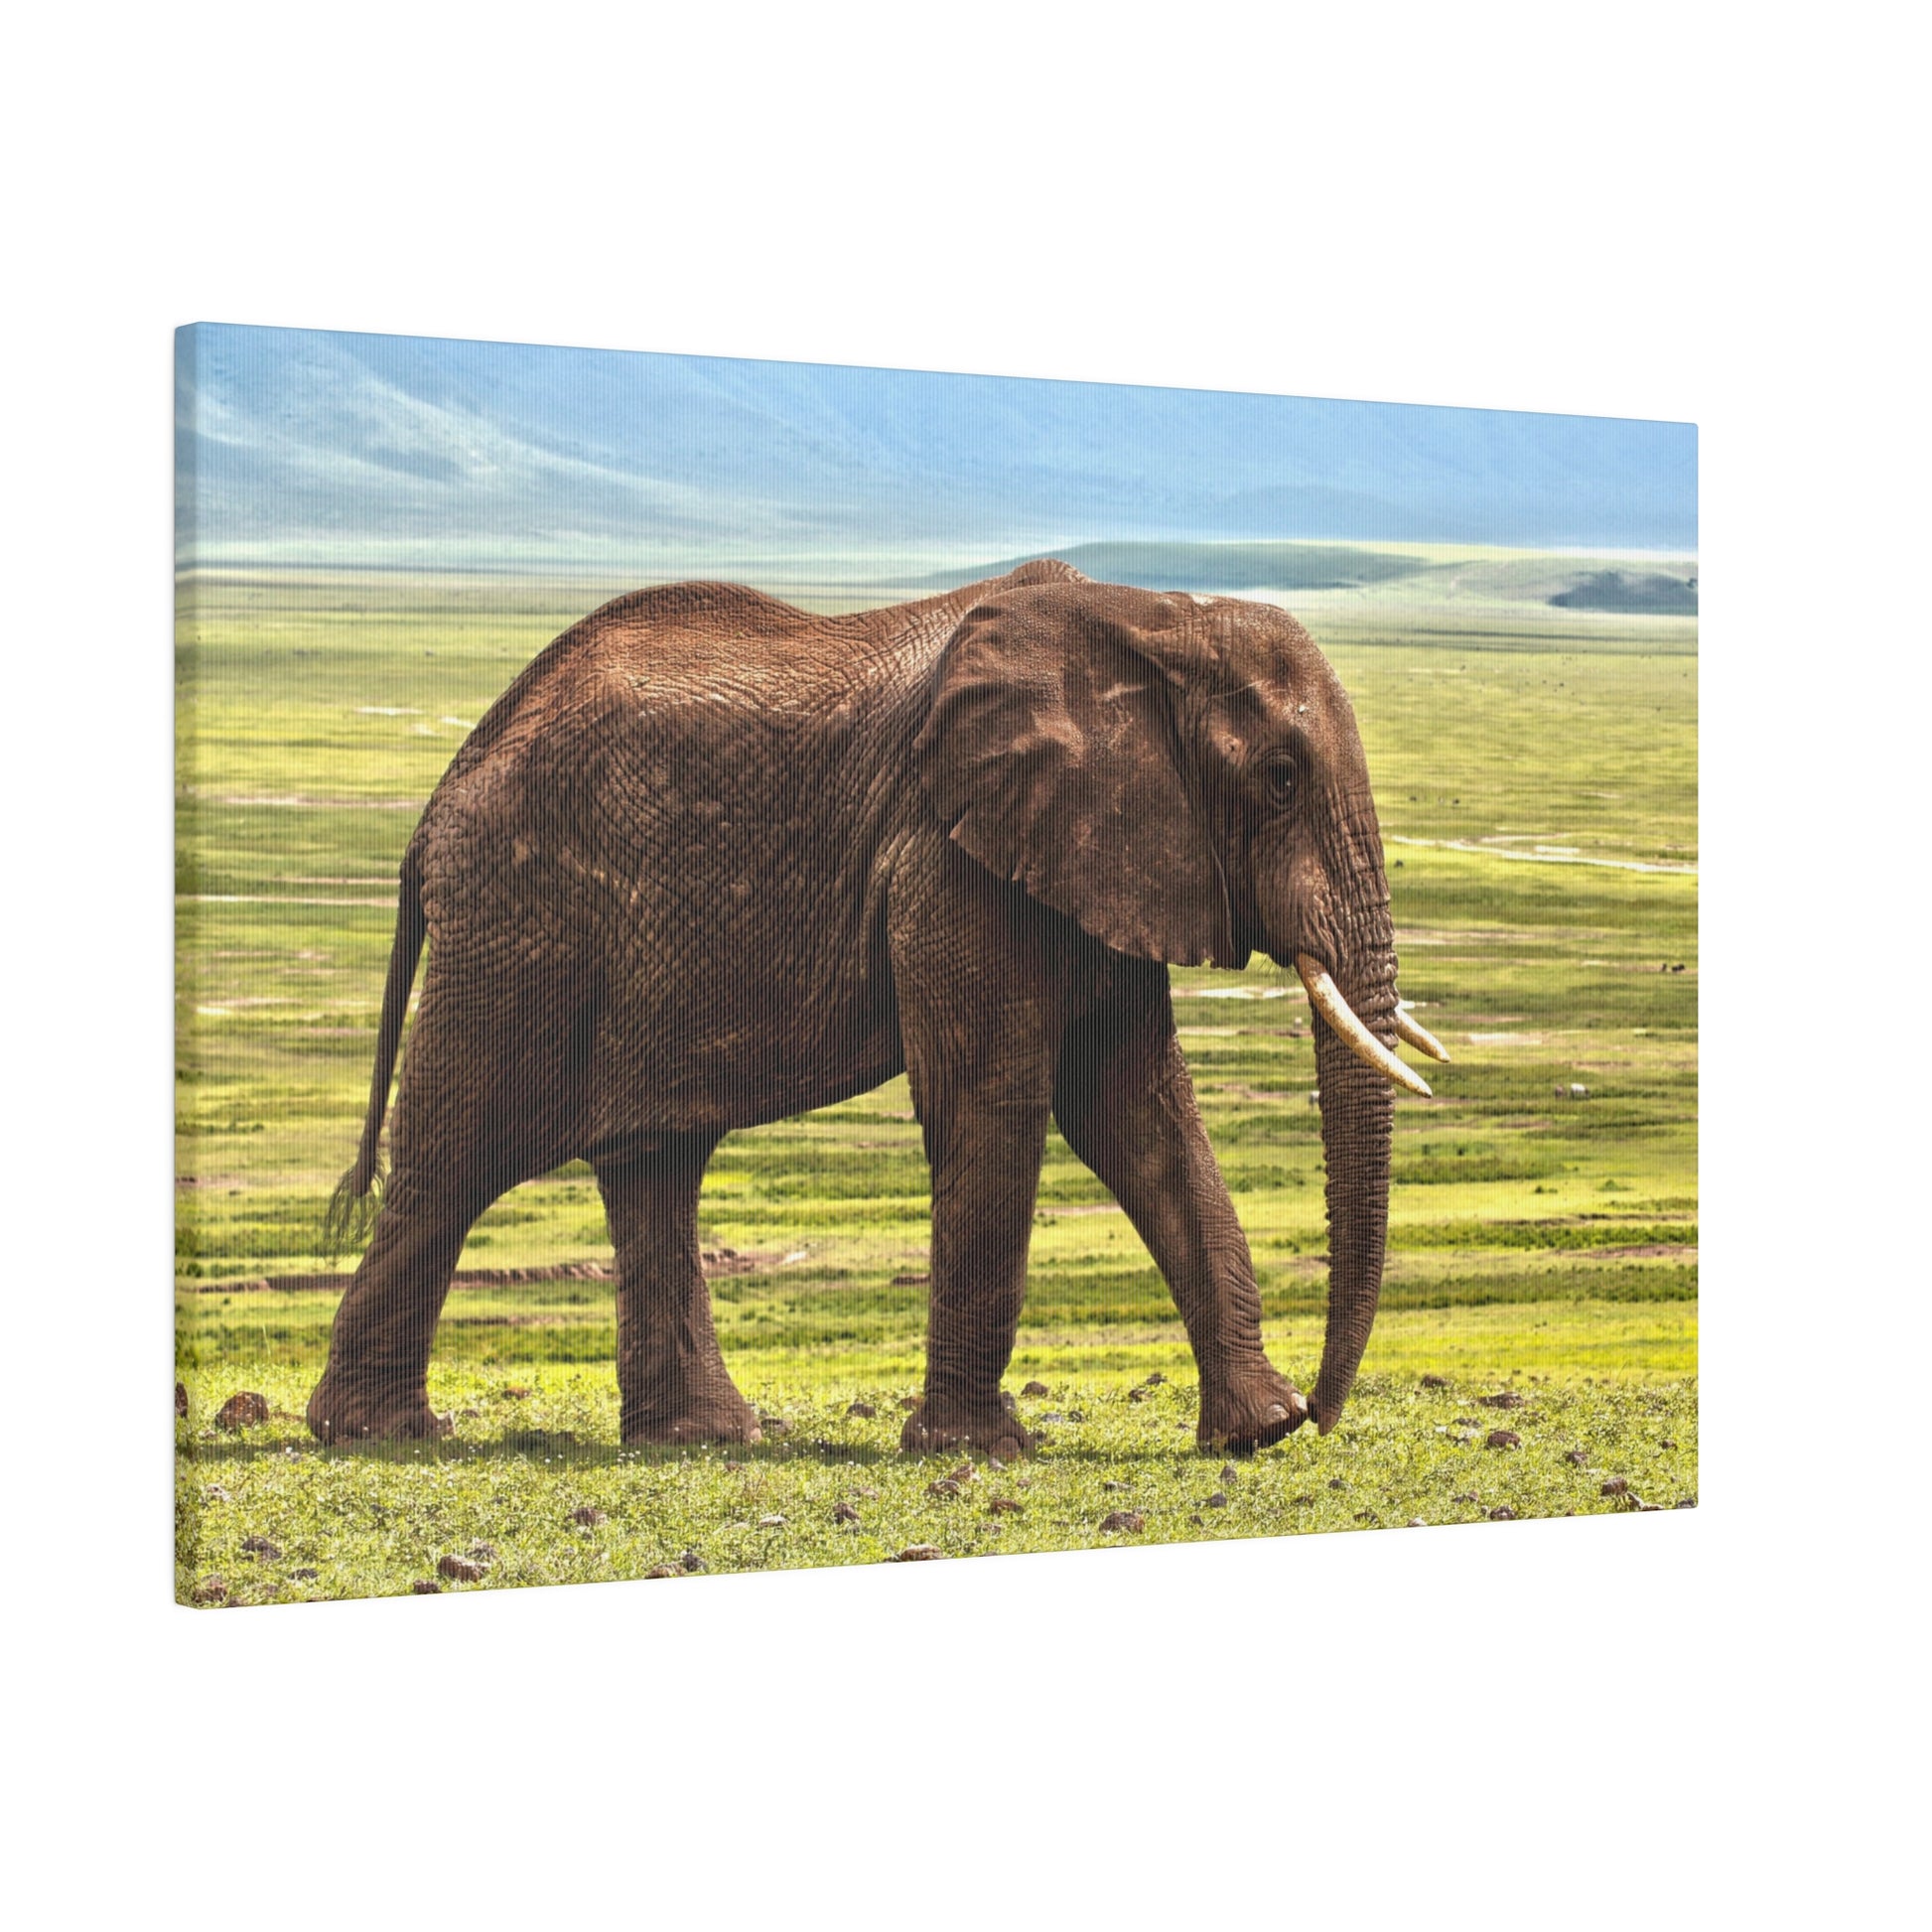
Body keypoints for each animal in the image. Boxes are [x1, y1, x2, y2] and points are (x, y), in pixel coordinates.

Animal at [306, 559, 1447, 1457]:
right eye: (1281, 778)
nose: (1324, 1413)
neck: (1149, 615)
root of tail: (442, 793)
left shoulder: (1097, 857)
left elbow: (1140, 1114)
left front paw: (1255, 1433)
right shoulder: (947, 856)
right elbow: (994, 1100)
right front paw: (979, 1450)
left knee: (652, 1158)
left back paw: (701, 1438)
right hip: (520, 922)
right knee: (459, 1157)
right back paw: (376, 1433)